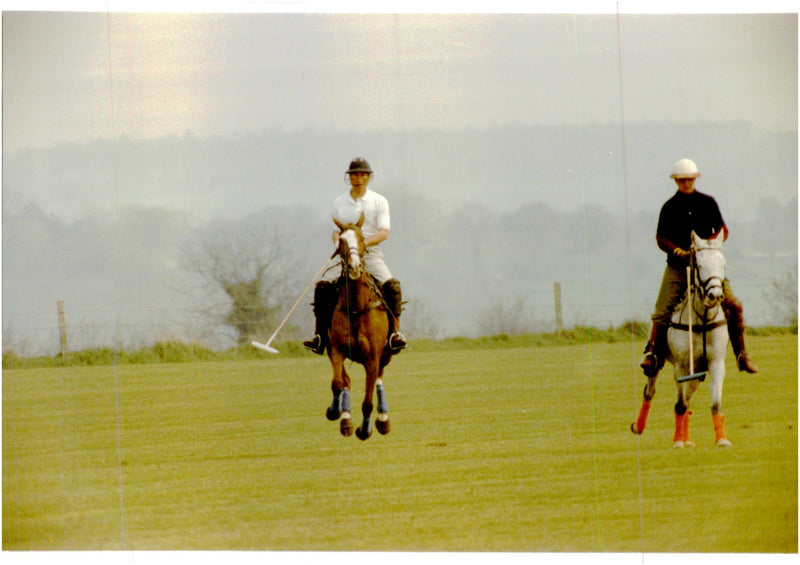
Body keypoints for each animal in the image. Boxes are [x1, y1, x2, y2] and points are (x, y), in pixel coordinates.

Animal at [324, 214, 394, 438]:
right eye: (341, 241)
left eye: (363, 239)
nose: (354, 267)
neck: (356, 306)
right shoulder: (336, 349)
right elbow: (338, 383)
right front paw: (335, 412)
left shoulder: (372, 357)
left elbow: (367, 402)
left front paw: (364, 430)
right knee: (345, 381)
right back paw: (345, 419)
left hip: (385, 354)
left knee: (379, 378)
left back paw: (383, 420)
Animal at [636, 229, 736, 446]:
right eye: (699, 264)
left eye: (723, 264)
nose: (715, 295)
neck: (702, 318)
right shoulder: (681, 366)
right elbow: (679, 404)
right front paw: (678, 442)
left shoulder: (716, 363)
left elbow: (715, 403)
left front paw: (722, 440)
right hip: (658, 361)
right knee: (650, 391)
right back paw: (638, 426)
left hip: (698, 371)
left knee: (687, 399)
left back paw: (688, 439)